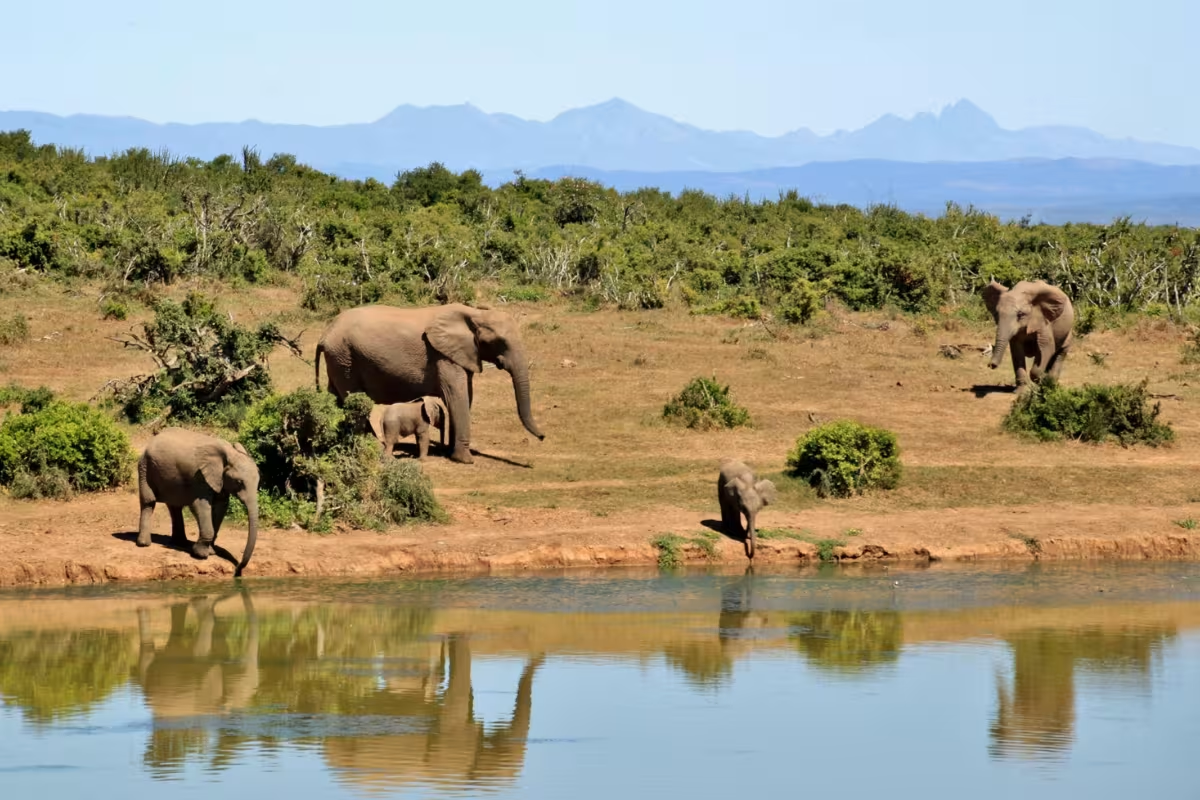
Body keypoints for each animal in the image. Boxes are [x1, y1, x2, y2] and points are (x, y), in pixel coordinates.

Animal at [137, 427, 259, 577]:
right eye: (239, 482)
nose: (238, 570)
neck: (229, 453)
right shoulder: (200, 477)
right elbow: (200, 506)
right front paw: (201, 555)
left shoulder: (219, 480)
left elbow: (220, 507)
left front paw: (211, 552)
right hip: (145, 467)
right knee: (149, 502)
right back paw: (144, 544)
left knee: (174, 506)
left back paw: (180, 543)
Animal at [315, 303, 545, 464]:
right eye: (500, 342)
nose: (543, 437)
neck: (474, 314)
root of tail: (324, 334)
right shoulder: (443, 356)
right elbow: (457, 396)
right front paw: (465, 460)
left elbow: (465, 397)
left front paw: (451, 453)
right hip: (345, 357)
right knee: (353, 401)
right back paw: (371, 446)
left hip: (339, 359)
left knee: (337, 398)